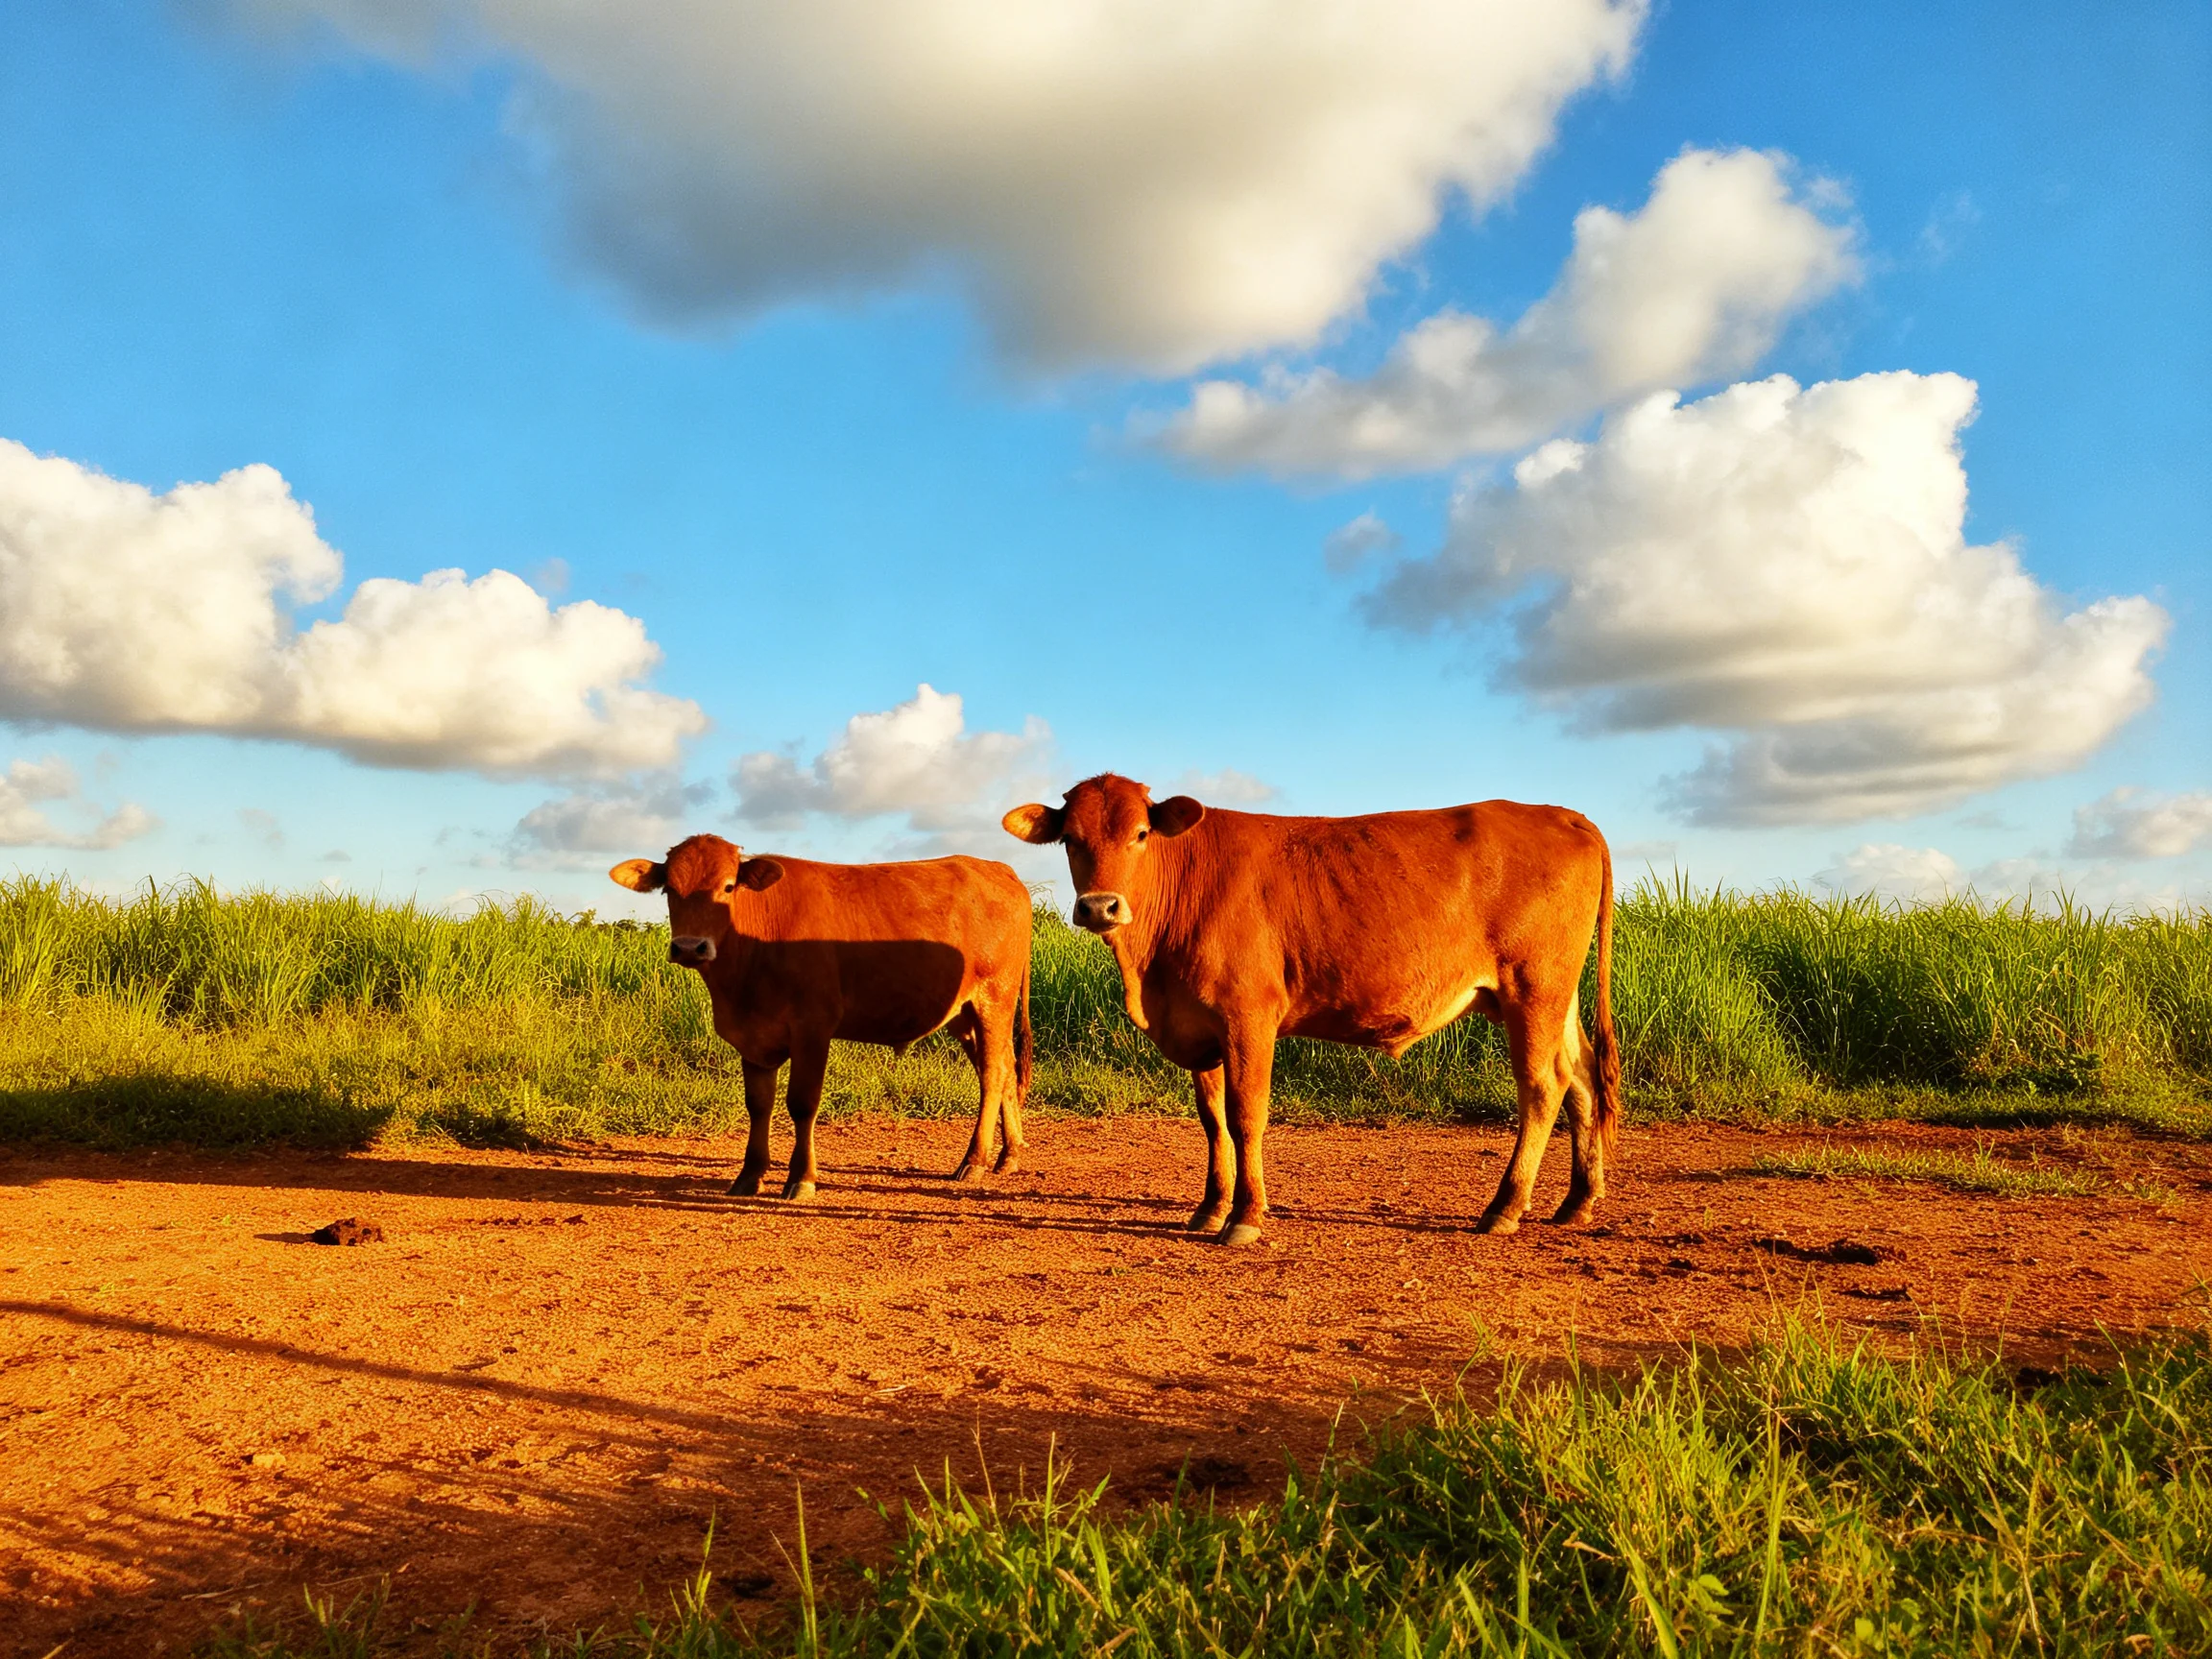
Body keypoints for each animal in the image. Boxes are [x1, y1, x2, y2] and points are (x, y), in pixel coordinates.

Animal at [609, 835, 1033, 1197]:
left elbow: (802, 1103)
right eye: (669, 890)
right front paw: (749, 1175)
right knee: (1004, 1069)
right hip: (964, 1014)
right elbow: (758, 1104)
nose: (689, 947)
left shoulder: (812, 1028)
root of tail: (998, 869)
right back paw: (1009, 1155)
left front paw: (801, 1178)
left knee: (993, 1073)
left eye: (728, 887)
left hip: (994, 999)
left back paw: (974, 1160)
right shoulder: (752, 1036)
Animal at [1003, 775, 1617, 1246]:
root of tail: (1565, 815)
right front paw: (1210, 1207)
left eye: (1140, 834)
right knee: (1582, 1078)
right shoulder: (1200, 1025)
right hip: (1555, 996)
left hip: (1533, 986)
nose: (1099, 907)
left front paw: (1245, 1217)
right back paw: (1577, 1201)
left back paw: (1504, 1207)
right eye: (1070, 840)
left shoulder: (1248, 1016)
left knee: (1542, 1086)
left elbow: (1245, 1115)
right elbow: (1212, 1119)